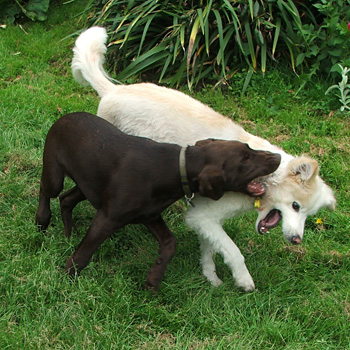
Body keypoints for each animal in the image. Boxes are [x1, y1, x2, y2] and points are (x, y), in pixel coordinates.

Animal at [35, 113, 282, 290]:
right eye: (245, 158)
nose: (278, 157)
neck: (177, 167)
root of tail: (64, 117)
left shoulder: (150, 215)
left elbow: (170, 243)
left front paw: (154, 278)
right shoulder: (107, 218)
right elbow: (85, 253)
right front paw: (68, 276)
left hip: (88, 184)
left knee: (66, 199)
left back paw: (68, 234)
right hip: (55, 174)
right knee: (47, 192)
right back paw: (42, 222)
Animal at [71, 26, 336, 290]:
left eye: (308, 214)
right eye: (295, 206)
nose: (296, 240)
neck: (267, 177)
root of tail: (113, 90)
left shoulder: (205, 217)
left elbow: (211, 248)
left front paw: (211, 277)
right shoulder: (204, 216)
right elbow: (233, 251)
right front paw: (244, 280)